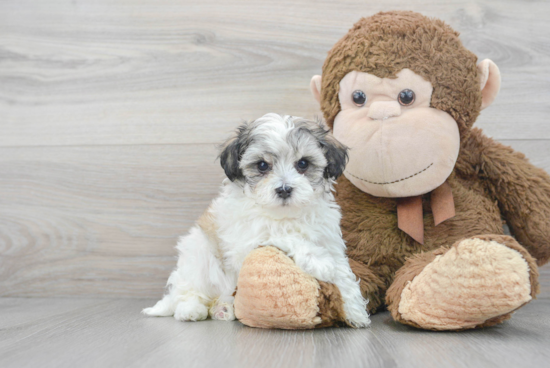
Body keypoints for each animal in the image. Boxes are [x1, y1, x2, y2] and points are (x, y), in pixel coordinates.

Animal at [142, 113, 370, 328]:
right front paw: (318, 260)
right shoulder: (247, 240)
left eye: (303, 163)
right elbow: (283, 235)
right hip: (198, 254)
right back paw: (190, 310)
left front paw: (355, 310)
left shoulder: (329, 240)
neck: (285, 215)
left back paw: (223, 309)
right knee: (189, 289)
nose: (284, 189)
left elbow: (343, 272)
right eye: (262, 165)